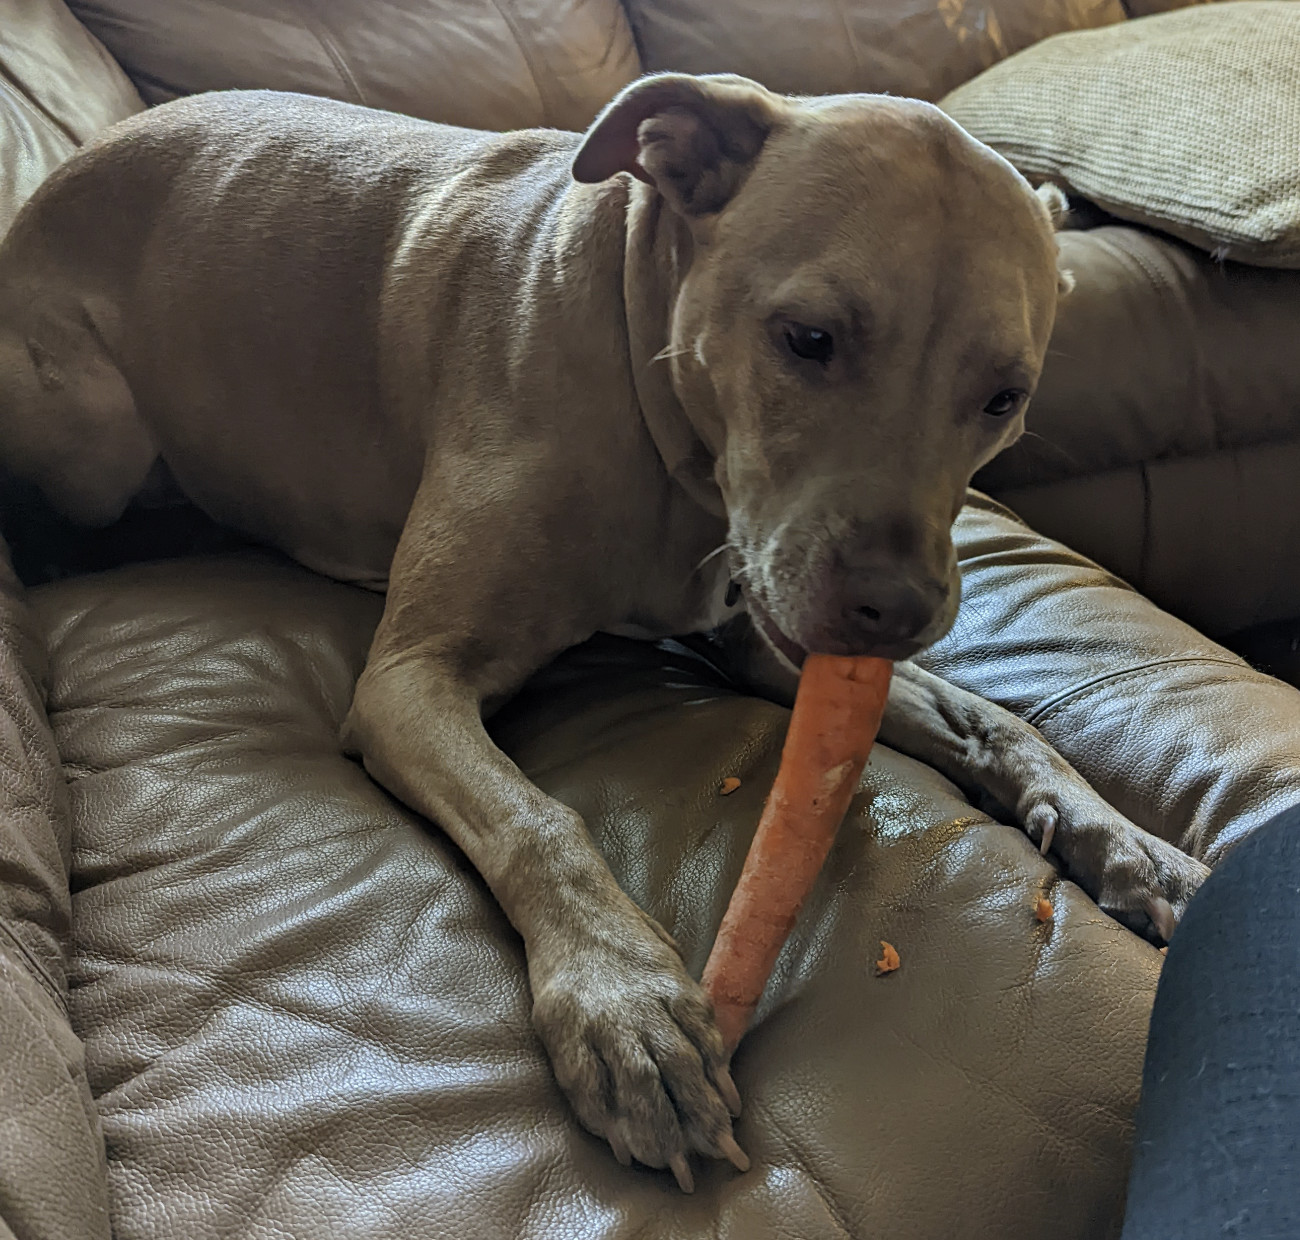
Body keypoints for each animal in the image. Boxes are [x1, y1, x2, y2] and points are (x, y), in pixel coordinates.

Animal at [0, 75, 1206, 1190]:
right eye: (807, 338)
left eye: (1004, 397)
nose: (898, 611)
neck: (652, 403)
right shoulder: (410, 679)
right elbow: (540, 820)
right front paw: (626, 1008)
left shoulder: (762, 634)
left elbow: (1002, 722)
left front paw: (1131, 842)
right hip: (96, 431)